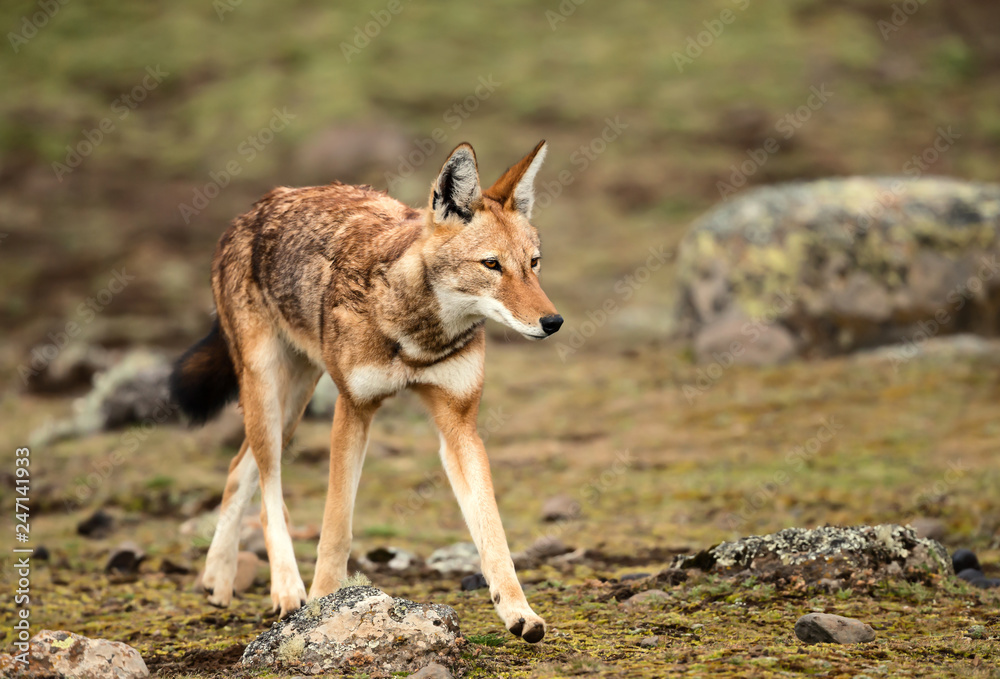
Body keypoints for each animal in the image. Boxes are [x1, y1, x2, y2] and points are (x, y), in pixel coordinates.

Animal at [169, 141, 562, 643]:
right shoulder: (353, 408)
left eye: (533, 264)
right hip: (268, 393)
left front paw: (518, 611)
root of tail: (255, 208)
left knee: (240, 468)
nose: (553, 322)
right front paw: (321, 605)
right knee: (268, 491)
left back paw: (217, 580)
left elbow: (493, 533)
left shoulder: (459, 425)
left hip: (294, 401)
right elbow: (336, 527)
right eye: (492, 265)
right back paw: (287, 590)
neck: (417, 335)